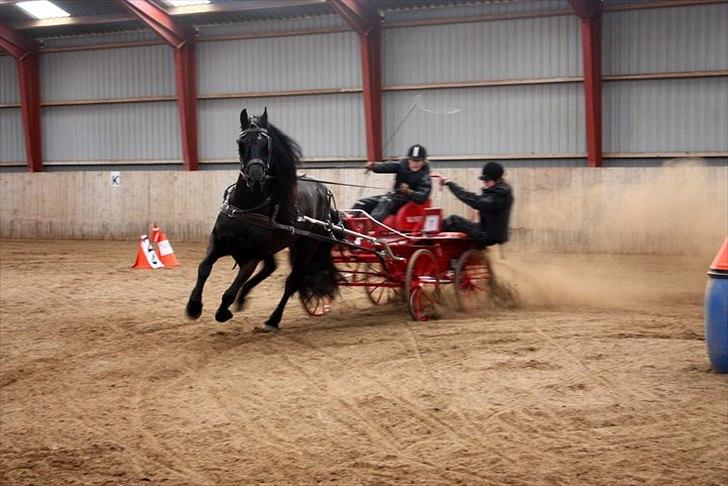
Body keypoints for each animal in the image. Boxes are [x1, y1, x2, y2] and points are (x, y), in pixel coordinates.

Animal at [185, 108, 338, 332]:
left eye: (267, 144)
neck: (246, 208)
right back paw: (244, 299)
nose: (256, 179)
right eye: (241, 142)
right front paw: (194, 306)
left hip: (306, 247)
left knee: (292, 282)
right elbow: (204, 268)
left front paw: (223, 312)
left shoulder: (252, 258)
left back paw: (272, 320)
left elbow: (230, 291)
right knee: (270, 268)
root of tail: (323, 190)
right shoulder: (217, 242)